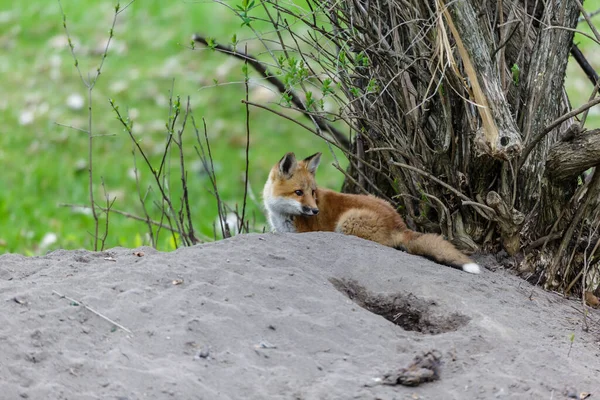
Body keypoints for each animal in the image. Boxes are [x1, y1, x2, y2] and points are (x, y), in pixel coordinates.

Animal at [264, 152, 480, 274]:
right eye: (299, 192)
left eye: (313, 192)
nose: (315, 211)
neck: (281, 214)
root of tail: (399, 223)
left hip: (347, 222)